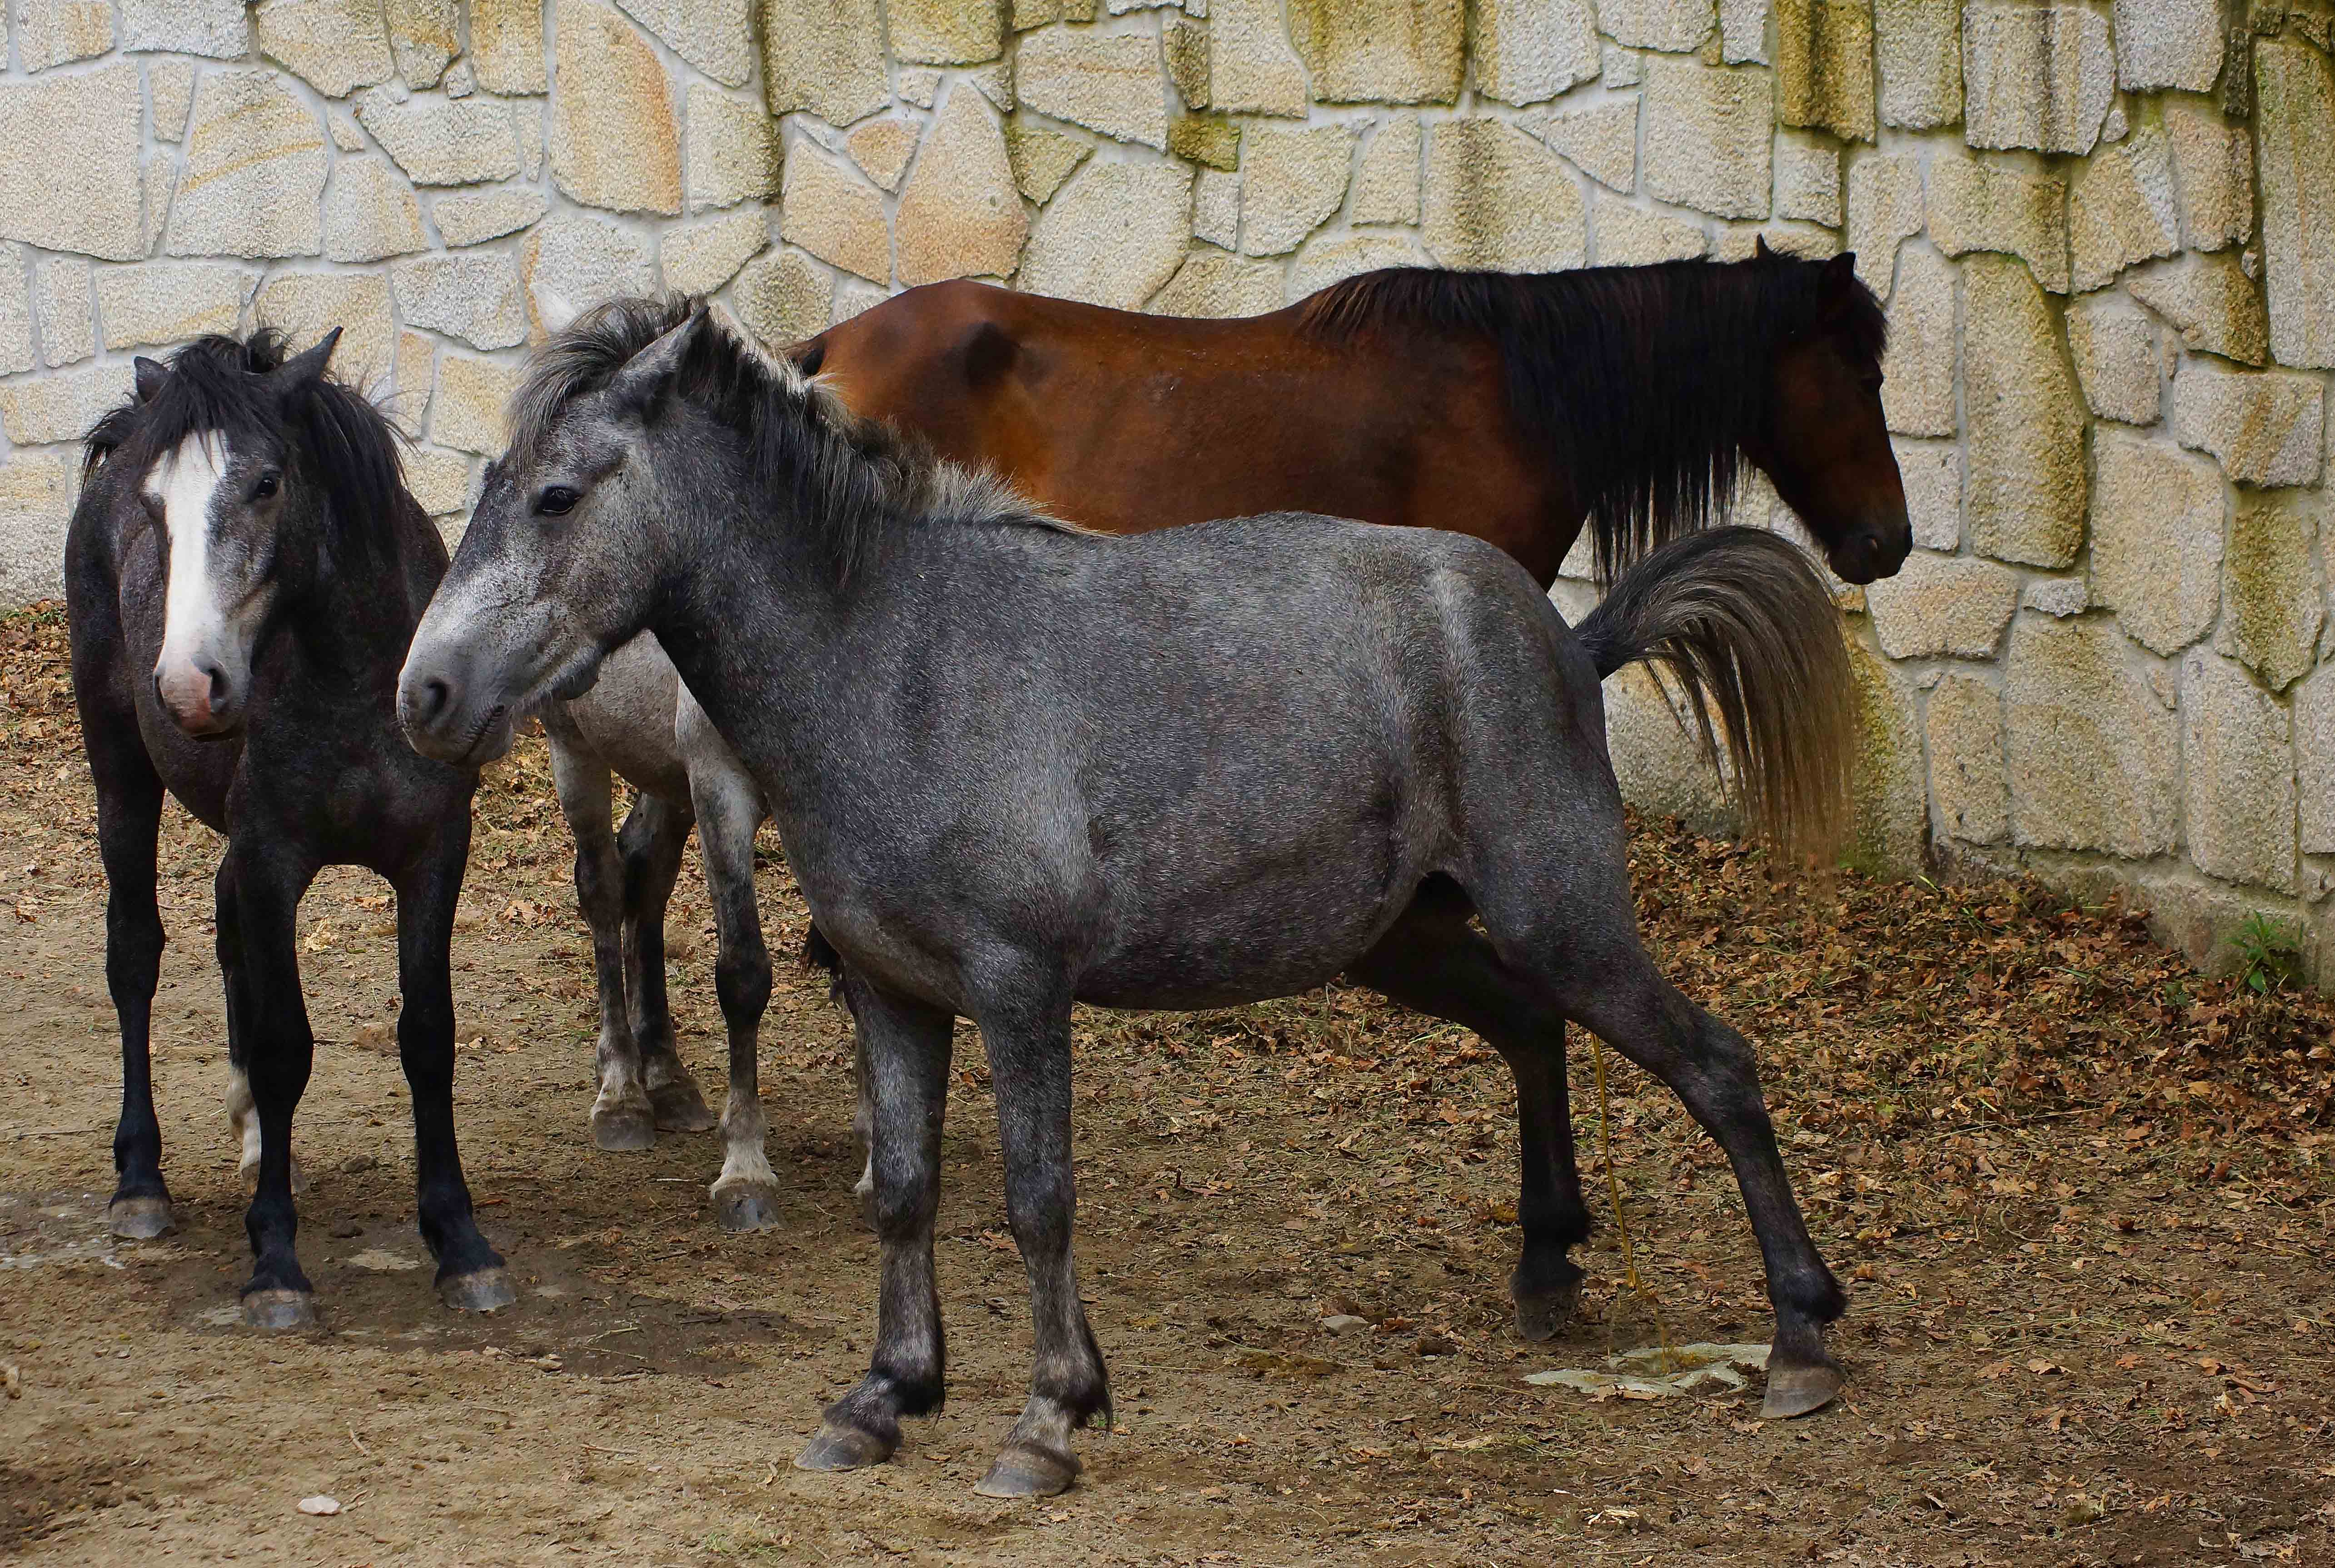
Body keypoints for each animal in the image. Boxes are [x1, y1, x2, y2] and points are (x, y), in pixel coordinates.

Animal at [68, 327, 511, 1325]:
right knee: (134, 953)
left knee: (224, 928)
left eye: (267, 483)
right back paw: (141, 1182)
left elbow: (428, 1034)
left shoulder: (434, 855)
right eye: (156, 503)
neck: (354, 681)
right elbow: (282, 1046)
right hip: (121, 779)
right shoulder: (273, 858)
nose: (190, 687)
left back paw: (250, 1141)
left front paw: (459, 1241)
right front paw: (274, 1260)